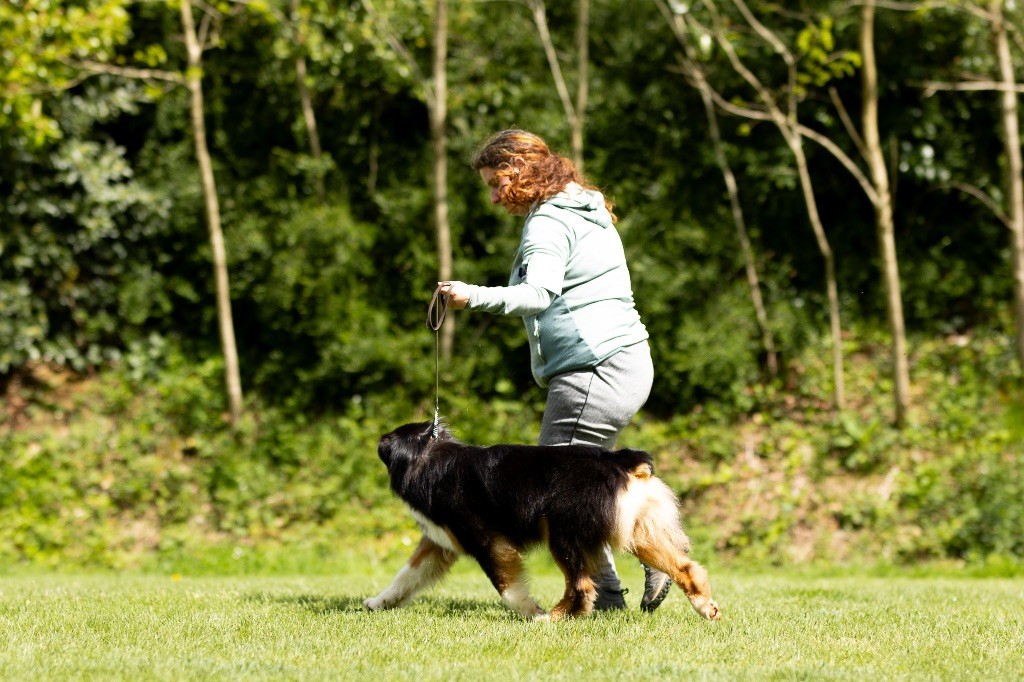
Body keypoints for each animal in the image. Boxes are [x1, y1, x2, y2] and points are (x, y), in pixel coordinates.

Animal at [362, 421, 720, 618]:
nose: (377, 441)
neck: (427, 456)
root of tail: (620, 460)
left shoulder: (487, 539)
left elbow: (506, 587)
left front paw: (529, 610)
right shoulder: (440, 544)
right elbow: (406, 576)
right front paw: (378, 602)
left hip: (561, 532)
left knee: (582, 586)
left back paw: (550, 620)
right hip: (638, 534)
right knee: (685, 567)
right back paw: (706, 608)